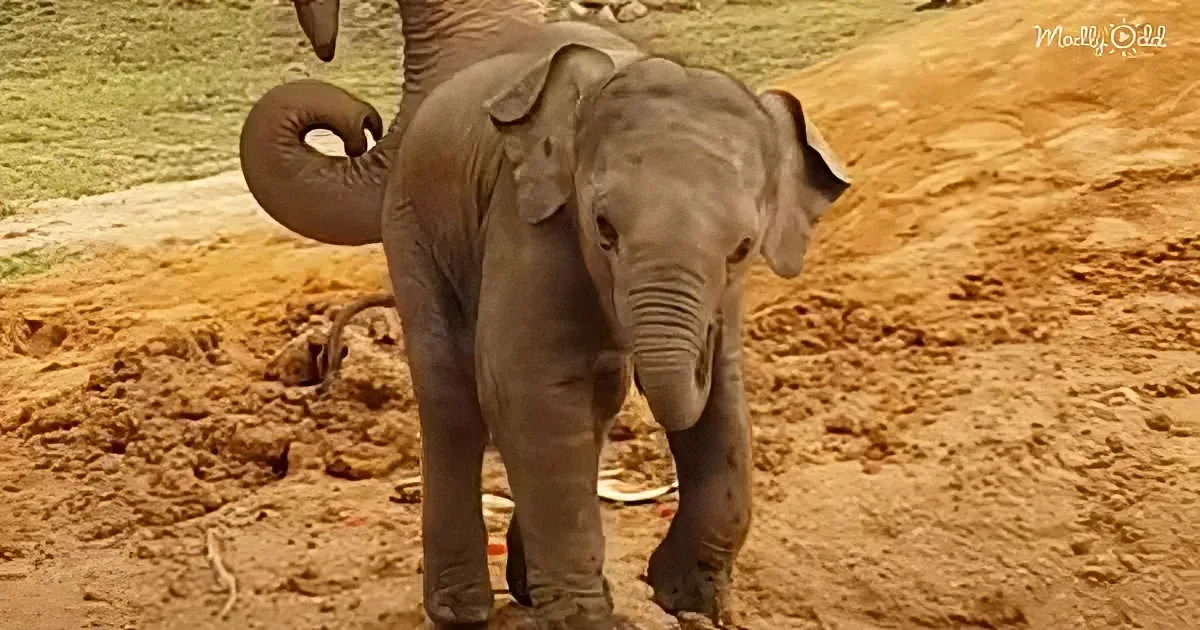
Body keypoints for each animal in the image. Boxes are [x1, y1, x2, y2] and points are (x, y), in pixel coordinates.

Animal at [270, 18, 851, 629]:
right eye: (603, 227)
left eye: (743, 248)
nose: (700, 352)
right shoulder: (528, 217)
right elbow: (527, 383)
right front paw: (590, 620)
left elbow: (724, 400)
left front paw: (690, 604)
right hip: (412, 226)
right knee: (452, 396)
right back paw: (463, 610)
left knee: (596, 400)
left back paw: (527, 588)